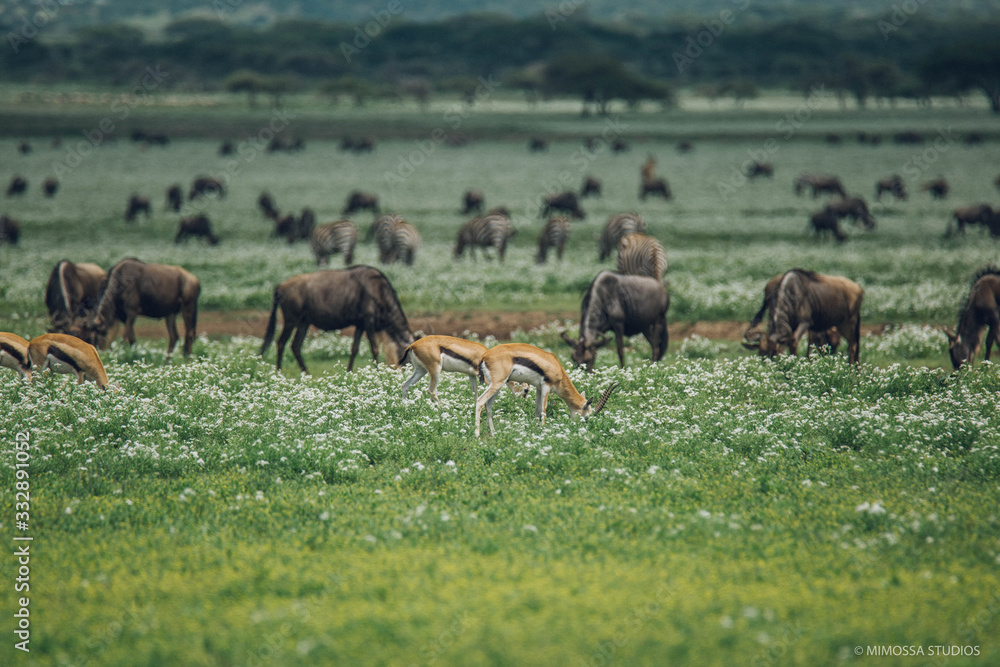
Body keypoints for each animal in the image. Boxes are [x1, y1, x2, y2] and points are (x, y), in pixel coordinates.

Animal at [475, 343, 618, 438]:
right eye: (587, 417)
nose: (582, 429)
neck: (556, 367)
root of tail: (485, 356)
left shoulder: (538, 388)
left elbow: (537, 410)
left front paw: (535, 431)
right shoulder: (546, 386)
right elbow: (544, 410)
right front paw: (543, 432)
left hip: (498, 385)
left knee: (488, 405)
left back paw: (493, 434)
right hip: (497, 383)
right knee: (480, 401)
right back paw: (477, 435)